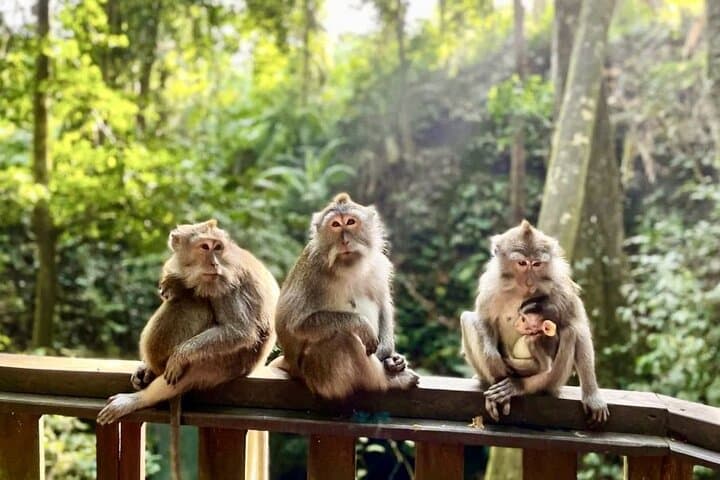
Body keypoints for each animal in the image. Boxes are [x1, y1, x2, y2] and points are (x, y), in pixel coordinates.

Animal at [97, 220, 279, 479]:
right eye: (204, 247)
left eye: (217, 247)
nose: (214, 263)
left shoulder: (226, 282)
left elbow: (240, 330)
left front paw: (179, 355)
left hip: (227, 363)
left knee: (194, 303)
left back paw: (138, 398)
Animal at [270, 193, 418, 400]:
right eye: (335, 225)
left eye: (350, 222)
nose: (345, 241)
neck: (348, 267)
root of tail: (290, 365)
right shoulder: (312, 273)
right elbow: (296, 324)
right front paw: (362, 325)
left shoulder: (378, 265)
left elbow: (383, 305)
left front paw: (389, 355)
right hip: (318, 374)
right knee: (344, 338)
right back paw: (387, 381)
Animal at [460, 220, 609, 424]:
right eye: (522, 263)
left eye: (537, 264)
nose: (529, 282)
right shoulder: (490, 285)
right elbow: (483, 319)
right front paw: (493, 358)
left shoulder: (560, 284)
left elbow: (579, 328)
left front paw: (592, 396)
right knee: (467, 319)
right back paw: (494, 381)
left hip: (553, 379)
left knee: (570, 332)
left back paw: (518, 386)